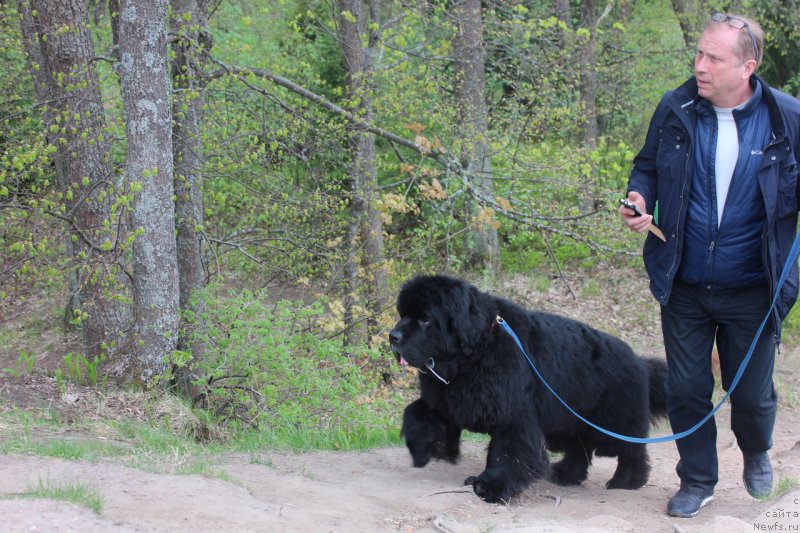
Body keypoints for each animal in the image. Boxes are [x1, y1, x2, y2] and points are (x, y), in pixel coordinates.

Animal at [390, 276, 668, 500]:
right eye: (403, 314)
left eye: (425, 319)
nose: (393, 337)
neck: (477, 351)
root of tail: (640, 361)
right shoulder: (446, 399)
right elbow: (415, 412)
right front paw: (425, 448)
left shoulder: (512, 416)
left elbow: (505, 453)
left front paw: (490, 487)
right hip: (570, 420)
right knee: (580, 448)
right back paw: (566, 474)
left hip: (613, 422)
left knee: (631, 449)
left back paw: (627, 480)